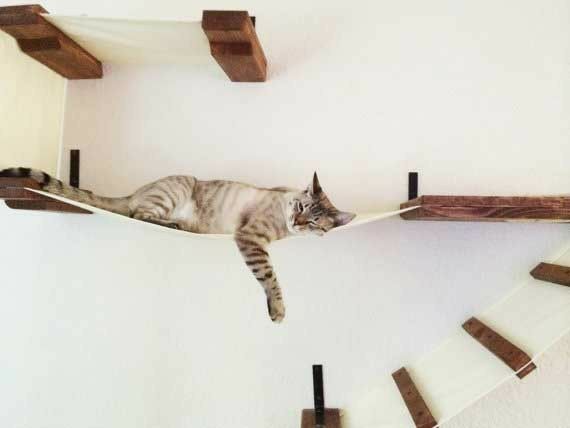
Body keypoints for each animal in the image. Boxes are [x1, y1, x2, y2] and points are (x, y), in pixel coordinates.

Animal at [0, 167, 355, 322]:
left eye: (314, 222)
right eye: (300, 207)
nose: (298, 221)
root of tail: (136, 190)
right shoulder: (251, 239)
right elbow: (271, 278)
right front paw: (278, 311)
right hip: (177, 189)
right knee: (139, 214)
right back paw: (172, 223)